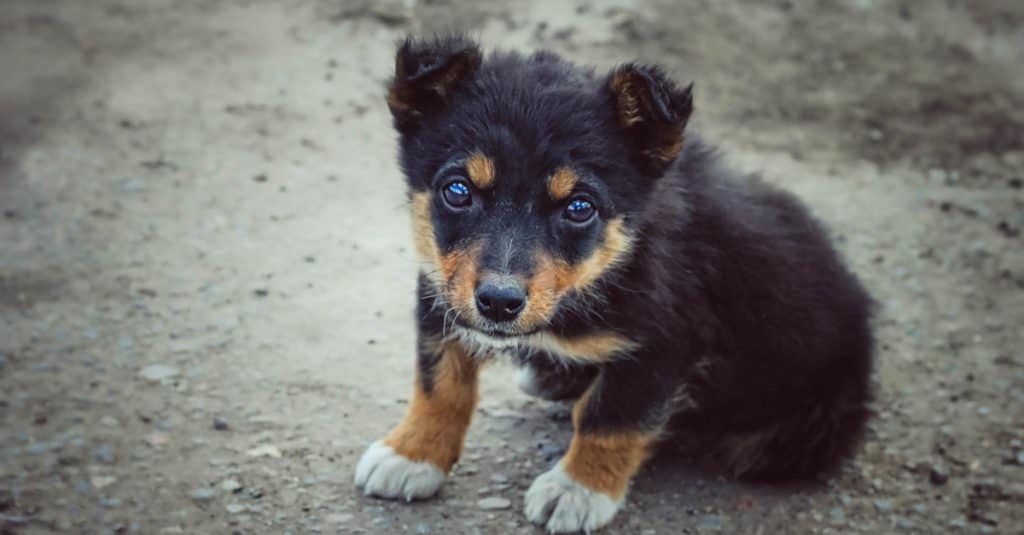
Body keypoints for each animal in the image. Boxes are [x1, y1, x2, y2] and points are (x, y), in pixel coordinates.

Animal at [354, 35, 872, 528]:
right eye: (458, 190)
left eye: (579, 207)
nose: (499, 303)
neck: (611, 263)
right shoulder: (441, 292)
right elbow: (439, 384)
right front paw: (413, 454)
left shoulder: (662, 343)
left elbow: (609, 420)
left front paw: (578, 491)